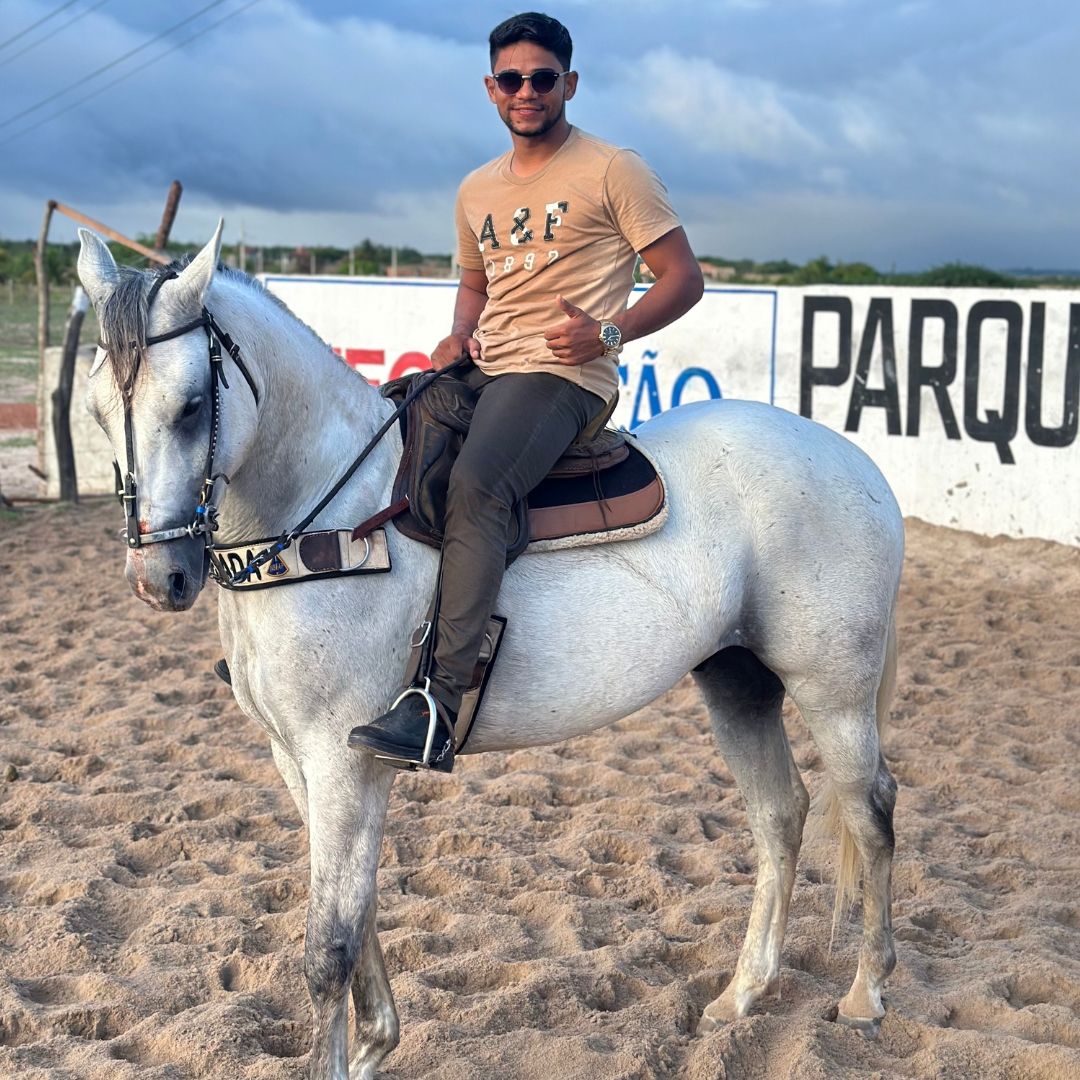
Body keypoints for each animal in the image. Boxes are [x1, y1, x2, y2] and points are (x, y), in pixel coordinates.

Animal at [77, 222, 904, 1080]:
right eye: (98, 410)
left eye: (191, 406)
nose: (160, 578)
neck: (328, 514)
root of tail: (857, 463)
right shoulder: (294, 758)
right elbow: (358, 911)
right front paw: (376, 1044)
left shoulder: (342, 760)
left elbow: (328, 946)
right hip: (737, 681)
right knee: (780, 815)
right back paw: (741, 996)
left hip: (834, 689)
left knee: (870, 810)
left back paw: (866, 993)